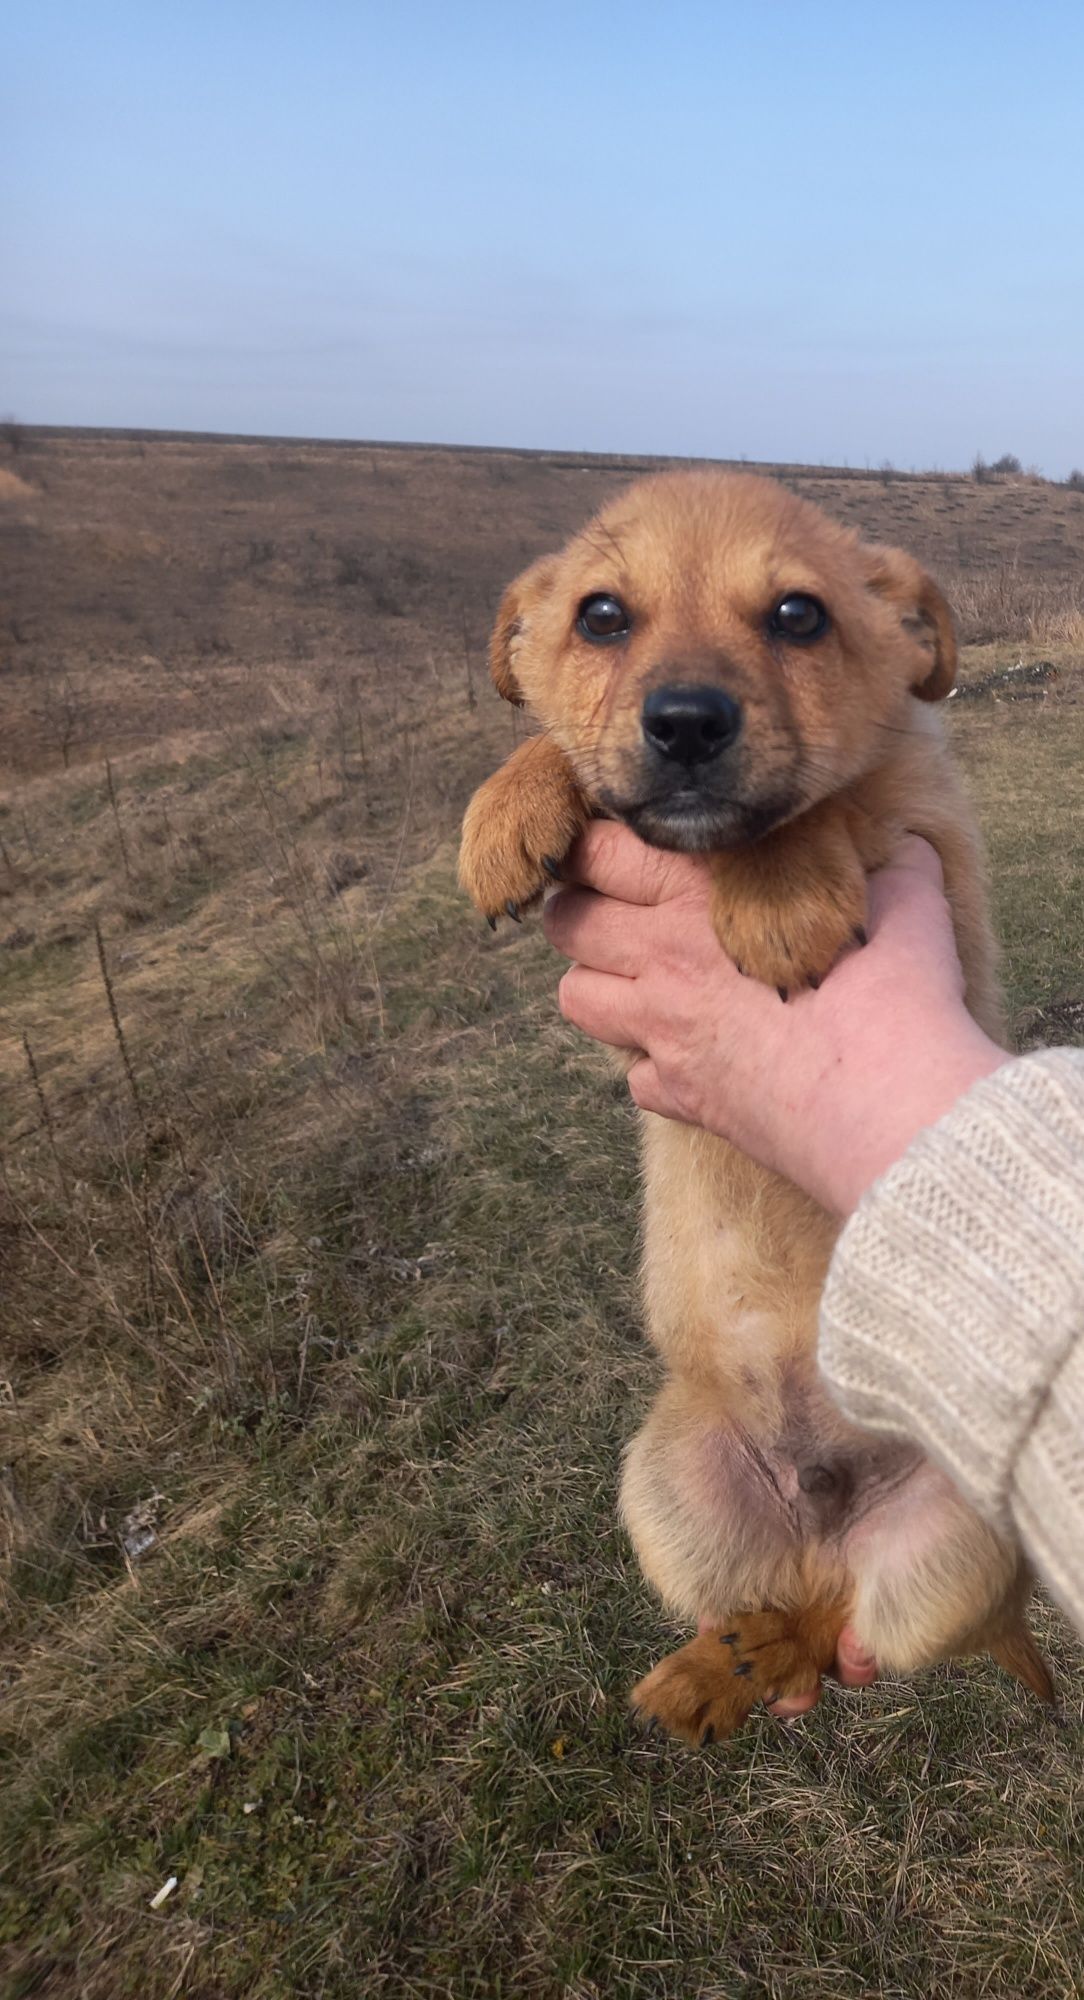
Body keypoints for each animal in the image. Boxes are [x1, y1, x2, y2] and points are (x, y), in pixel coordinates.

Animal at [460, 476, 1056, 1744]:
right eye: (599, 616)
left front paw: (779, 891)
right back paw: (713, 1668)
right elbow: (560, 743)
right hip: (666, 1483)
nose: (686, 724)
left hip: (961, 1541)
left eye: (798, 613)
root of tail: (831, 1512)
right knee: (790, 1612)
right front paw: (507, 808)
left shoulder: (933, 849)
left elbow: (829, 801)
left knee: (843, 1625)